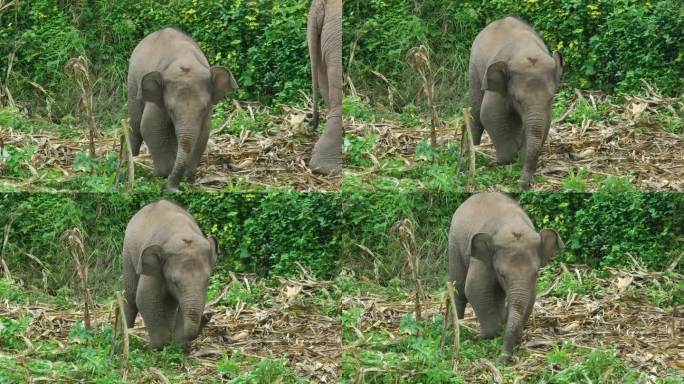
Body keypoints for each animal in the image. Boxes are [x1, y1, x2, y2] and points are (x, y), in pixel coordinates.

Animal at [121, 200, 219, 352]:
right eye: (174, 282)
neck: (181, 232)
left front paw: (177, 345)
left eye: (208, 280)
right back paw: (128, 334)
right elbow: (144, 298)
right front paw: (160, 345)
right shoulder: (154, 269)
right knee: (131, 295)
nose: (208, 316)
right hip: (127, 253)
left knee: (169, 303)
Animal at [127, 27, 239, 192]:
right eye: (170, 109)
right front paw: (164, 174)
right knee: (135, 124)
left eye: (203, 108)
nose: (174, 189)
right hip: (133, 81)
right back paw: (132, 160)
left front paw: (186, 176)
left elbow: (203, 133)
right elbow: (149, 126)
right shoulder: (158, 99)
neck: (184, 60)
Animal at [446, 192, 564, 360]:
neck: (512, 224)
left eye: (536, 273)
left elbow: (530, 297)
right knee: (459, 287)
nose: (503, 358)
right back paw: (456, 327)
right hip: (454, 243)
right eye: (501, 274)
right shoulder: (482, 259)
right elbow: (475, 289)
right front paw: (483, 335)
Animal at [468, 18, 564, 189]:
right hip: (474, 69)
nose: (521, 187)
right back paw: (475, 150)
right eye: (517, 99)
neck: (527, 50)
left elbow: (545, 123)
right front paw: (504, 160)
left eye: (552, 98)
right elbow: (489, 115)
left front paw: (521, 157)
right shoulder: (499, 87)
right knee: (476, 112)